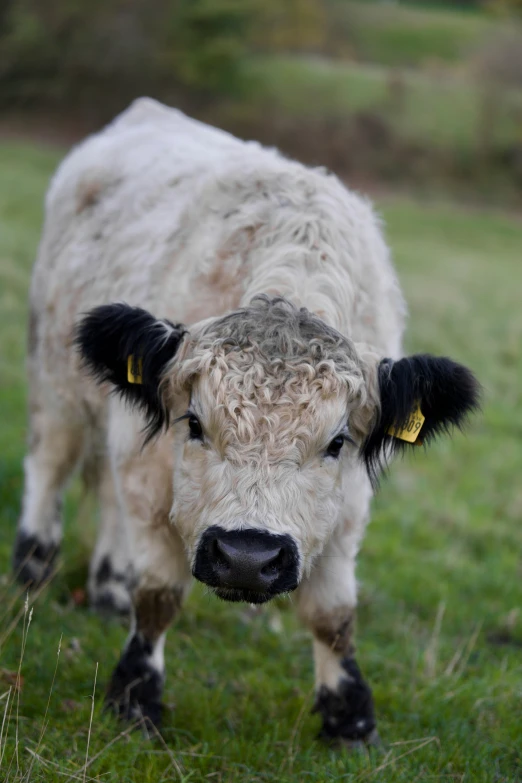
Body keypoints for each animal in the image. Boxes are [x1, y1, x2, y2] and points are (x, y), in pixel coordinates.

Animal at [12, 99, 478, 748]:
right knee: (50, 462)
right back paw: (33, 568)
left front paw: (350, 718)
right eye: (195, 423)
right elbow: (158, 596)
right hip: (57, 379)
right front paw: (136, 699)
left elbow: (333, 615)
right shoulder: (151, 462)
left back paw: (106, 589)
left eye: (337, 442)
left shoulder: (348, 507)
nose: (247, 558)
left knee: (105, 492)